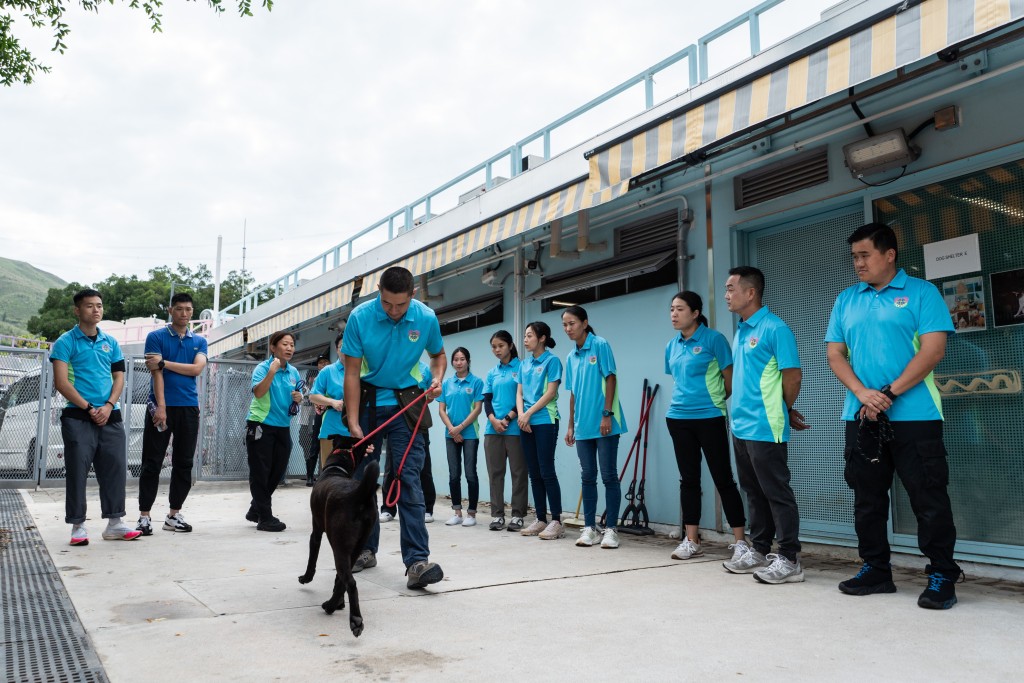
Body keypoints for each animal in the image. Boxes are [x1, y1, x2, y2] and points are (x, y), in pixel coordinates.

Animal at [299, 440, 378, 638]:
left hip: (339, 546)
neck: (336, 468)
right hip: (355, 547)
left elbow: (312, 559)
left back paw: (353, 619)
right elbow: (337, 580)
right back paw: (332, 604)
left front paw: (306, 577)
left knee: (350, 582)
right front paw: (340, 603)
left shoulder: (316, 531)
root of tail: (358, 494)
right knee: (343, 579)